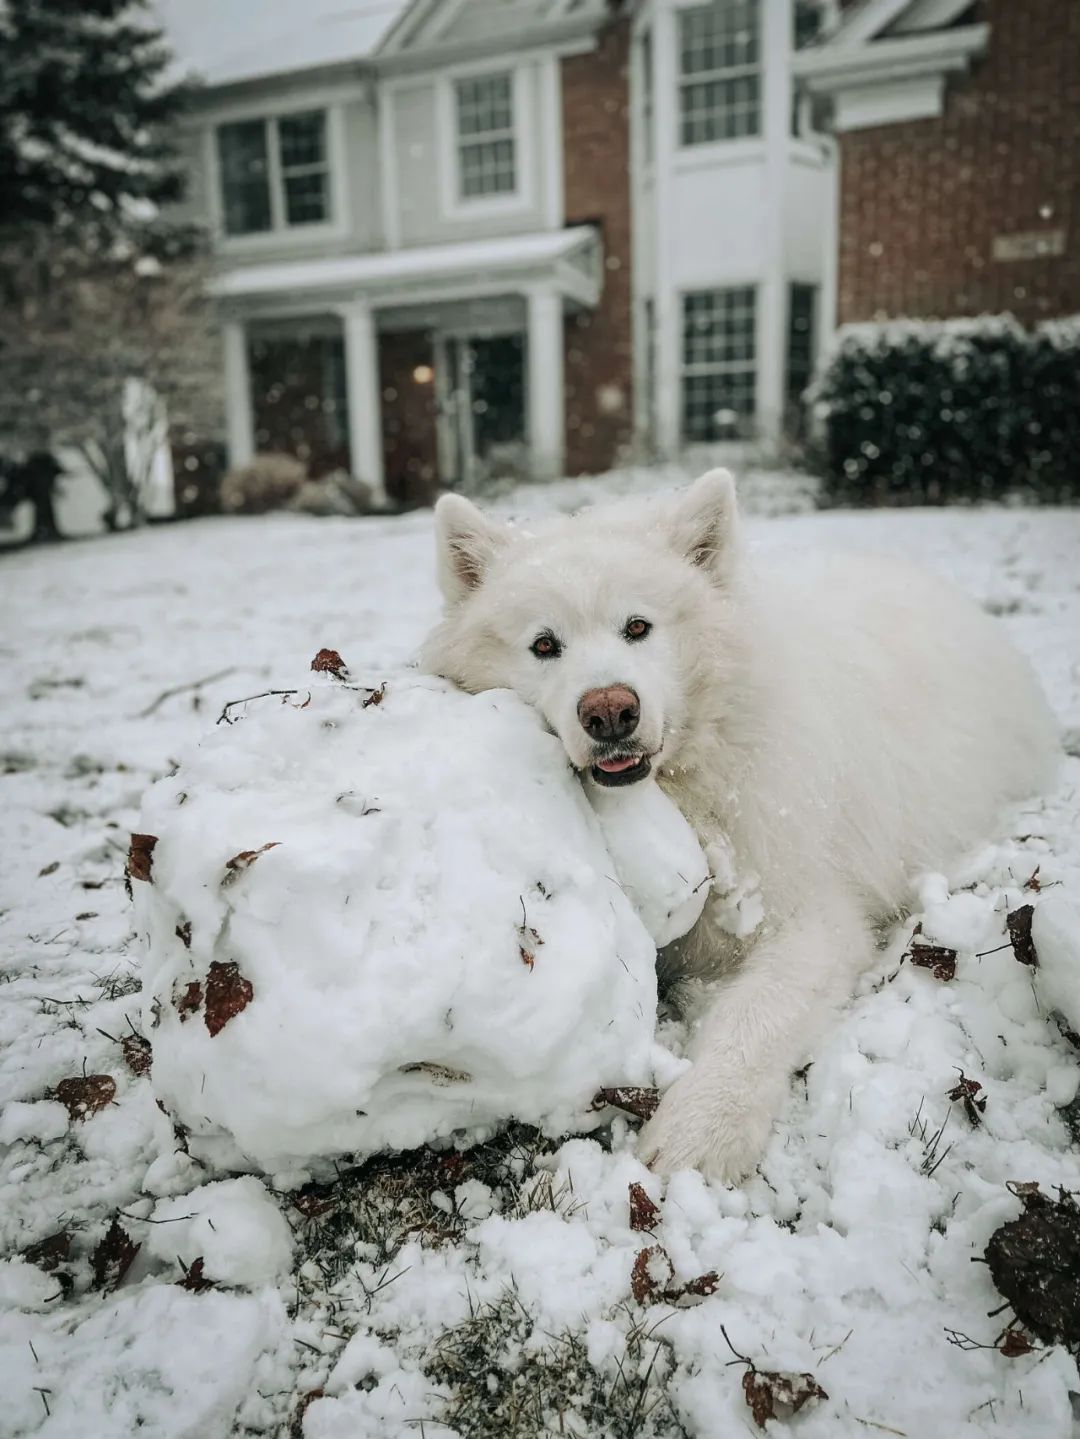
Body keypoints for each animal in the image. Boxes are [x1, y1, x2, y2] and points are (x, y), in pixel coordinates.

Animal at [417, 471, 1058, 1179]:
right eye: (543, 645)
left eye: (637, 627)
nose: (609, 710)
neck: (689, 788)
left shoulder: (813, 918)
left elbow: (757, 1012)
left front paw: (702, 1131)